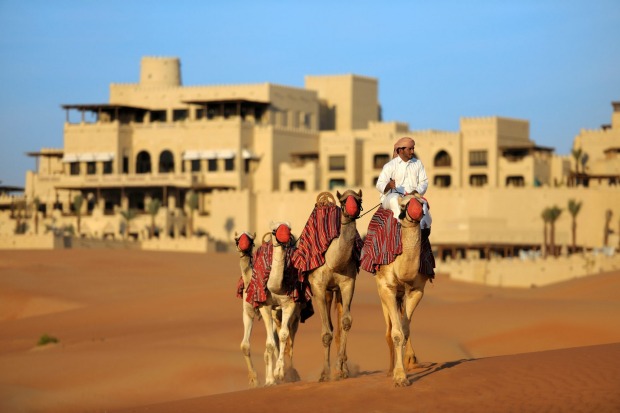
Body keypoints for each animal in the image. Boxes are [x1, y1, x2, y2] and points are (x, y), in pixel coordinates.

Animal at [235, 232, 278, 386]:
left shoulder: (268, 309)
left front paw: (272, 379)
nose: (244, 246)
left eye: (251, 239)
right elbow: (244, 345)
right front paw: (254, 380)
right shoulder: (247, 312)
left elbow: (270, 345)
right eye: (237, 239)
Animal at [296, 189, 364, 380]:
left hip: (336, 291)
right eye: (343, 201)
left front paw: (340, 368)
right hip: (325, 291)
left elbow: (346, 322)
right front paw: (325, 374)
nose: (353, 210)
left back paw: (343, 368)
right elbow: (326, 333)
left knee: (339, 326)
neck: (332, 259)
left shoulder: (348, 283)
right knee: (330, 327)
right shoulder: (318, 287)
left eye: (359, 199)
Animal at [372, 193, 432, 386]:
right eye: (404, 205)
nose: (417, 212)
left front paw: (403, 372)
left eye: (422, 203)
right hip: (382, 293)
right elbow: (396, 334)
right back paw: (390, 370)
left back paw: (411, 360)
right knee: (388, 330)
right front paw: (398, 376)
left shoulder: (416, 290)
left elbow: (405, 331)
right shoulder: (387, 288)